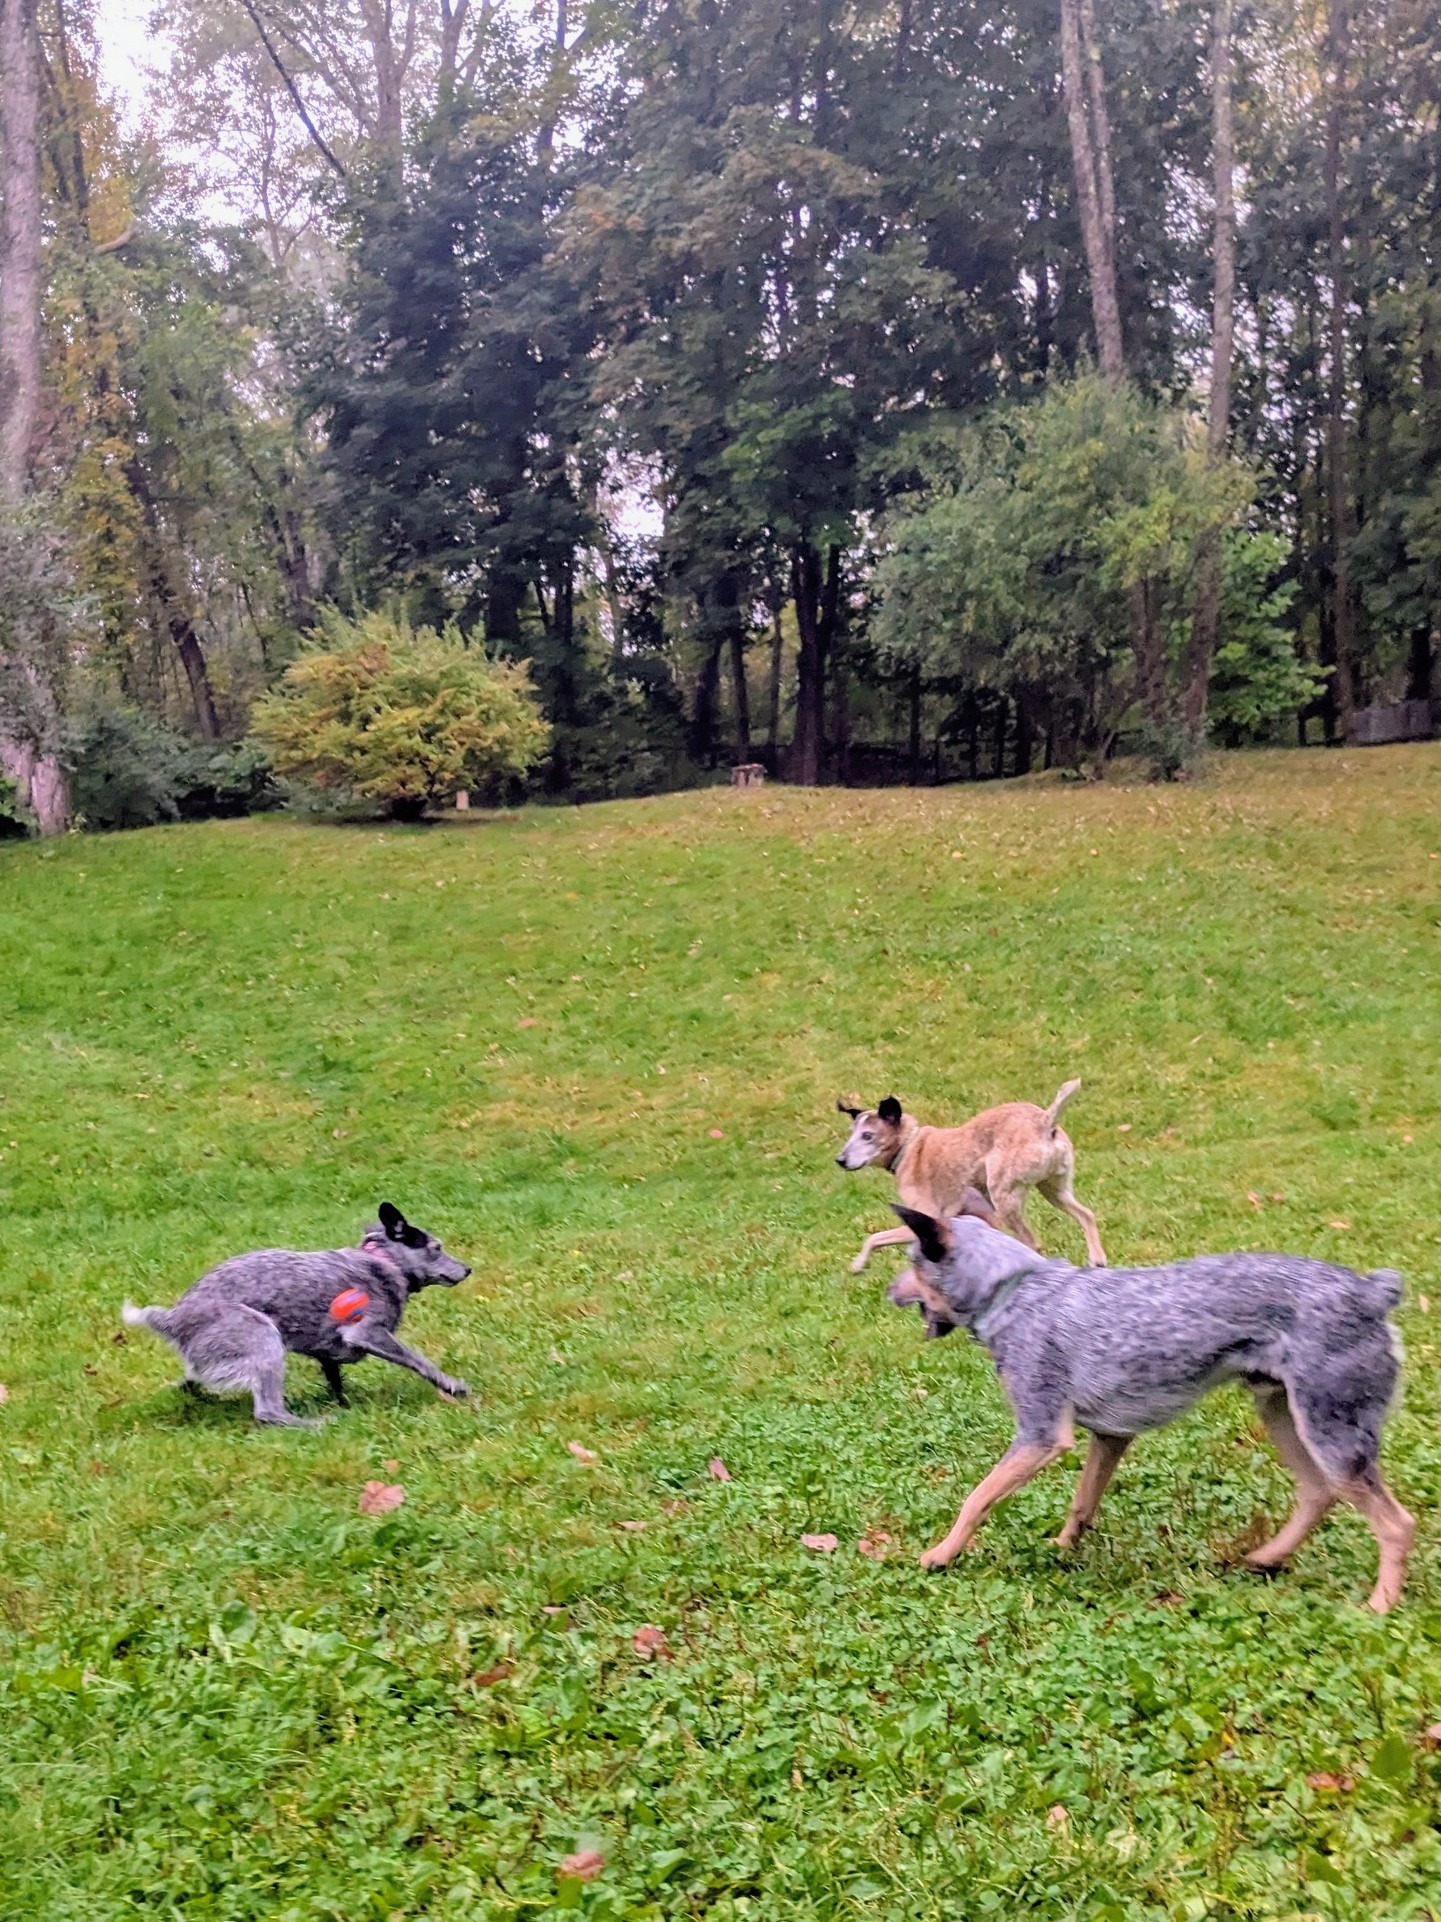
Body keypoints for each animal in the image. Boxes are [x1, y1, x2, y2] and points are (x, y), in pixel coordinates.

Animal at [122, 1202, 471, 1426]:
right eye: (437, 1248)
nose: (468, 1268)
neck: (383, 1261)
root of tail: (171, 1320)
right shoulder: (368, 1332)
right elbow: (418, 1360)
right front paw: (451, 1385)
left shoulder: (328, 1354)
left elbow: (335, 1379)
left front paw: (345, 1401)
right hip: (262, 1336)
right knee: (268, 1412)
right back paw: (316, 1423)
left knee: (189, 1384)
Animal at [835, 1080, 1105, 1272]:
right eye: (851, 1134)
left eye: (867, 1136)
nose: (840, 1160)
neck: (909, 1146)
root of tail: (1044, 1121)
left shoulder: (927, 1218)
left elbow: (874, 1237)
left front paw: (858, 1265)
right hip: (1054, 1190)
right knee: (1086, 1215)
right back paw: (1097, 1260)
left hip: (1004, 1196)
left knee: (1032, 1242)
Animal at [886, 1192, 1414, 1613]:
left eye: (912, 1262)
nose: (888, 1291)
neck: (1014, 1288)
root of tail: (1372, 1292)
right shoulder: (1110, 1436)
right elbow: (1082, 1502)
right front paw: (1064, 1547)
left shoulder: (1039, 1436)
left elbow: (976, 1498)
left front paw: (942, 1553)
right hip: (1284, 1415)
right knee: (1318, 1493)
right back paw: (1266, 1558)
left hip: (1331, 1433)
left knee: (1396, 1524)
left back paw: (1378, 1606)